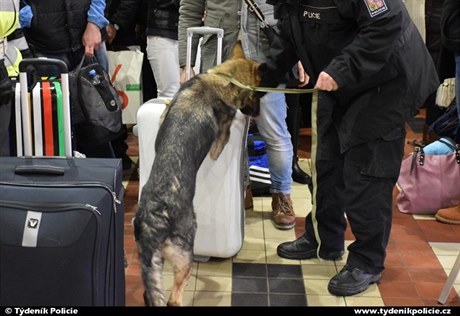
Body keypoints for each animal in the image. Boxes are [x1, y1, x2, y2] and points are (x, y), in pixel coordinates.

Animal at [133, 44, 262, 306]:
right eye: (256, 96)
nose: (259, 114)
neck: (223, 76)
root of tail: (155, 216)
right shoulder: (221, 139)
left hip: (152, 266)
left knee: (150, 294)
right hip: (184, 259)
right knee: (173, 299)